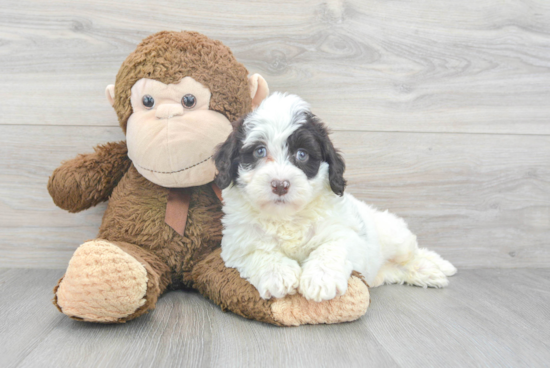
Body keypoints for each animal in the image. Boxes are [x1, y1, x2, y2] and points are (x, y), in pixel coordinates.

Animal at [215, 92, 458, 302]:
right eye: (259, 151)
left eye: (302, 155)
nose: (280, 185)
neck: (287, 217)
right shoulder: (238, 244)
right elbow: (260, 252)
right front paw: (279, 275)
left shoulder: (345, 234)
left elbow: (330, 247)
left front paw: (320, 279)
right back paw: (427, 273)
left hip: (395, 236)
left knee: (413, 253)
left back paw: (437, 266)